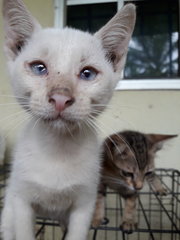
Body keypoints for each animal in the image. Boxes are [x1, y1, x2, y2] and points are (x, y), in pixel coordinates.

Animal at [0, 0, 135, 240]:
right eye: (39, 68)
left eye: (88, 73)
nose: (61, 98)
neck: (58, 148)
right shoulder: (21, 201)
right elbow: (24, 231)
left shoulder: (84, 205)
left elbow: (76, 232)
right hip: (9, 209)